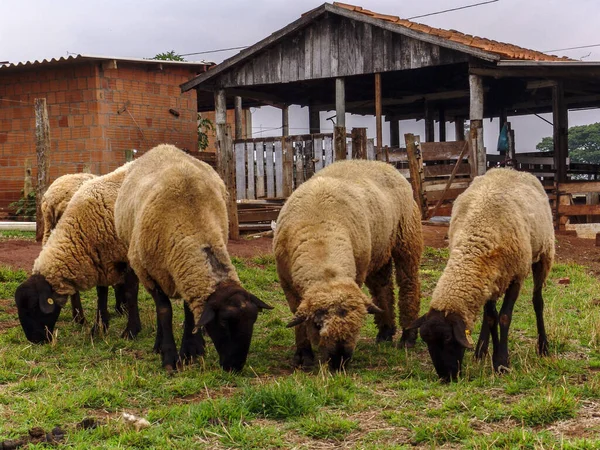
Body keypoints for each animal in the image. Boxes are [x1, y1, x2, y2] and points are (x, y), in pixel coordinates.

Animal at [113, 144, 274, 372]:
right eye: (223, 323)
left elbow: (190, 311)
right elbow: (164, 311)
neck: (191, 224)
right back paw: (154, 342)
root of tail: (162, 147)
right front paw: (169, 357)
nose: (234, 367)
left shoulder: (186, 273)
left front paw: (192, 349)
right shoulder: (149, 274)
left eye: (253, 321)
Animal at [274, 160, 424, 370]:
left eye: (358, 324)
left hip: (406, 238)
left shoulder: (358, 273)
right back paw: (385, 333)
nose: (339, 361)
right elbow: (299, 321)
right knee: (383, 288)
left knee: (409, 285)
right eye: (317, 325)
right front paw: (303, 355)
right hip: (379, 251)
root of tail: (385, 164)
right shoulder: (286, 283)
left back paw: (408, 337)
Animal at [410, 167, 556, 382]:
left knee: (538, 301)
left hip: (543, 255)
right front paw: (494, 358)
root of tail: (511, 169)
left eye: (448, 338)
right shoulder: (485, 277)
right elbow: (491, 318)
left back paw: (543, 347)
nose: (447, 377)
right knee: (490, 313)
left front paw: (502, 363)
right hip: (494, 279)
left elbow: (504, 317)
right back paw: (481, 350)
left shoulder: (516, 276)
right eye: (426, 341)